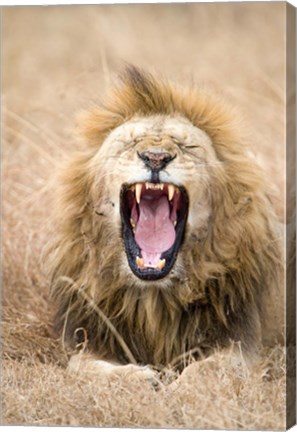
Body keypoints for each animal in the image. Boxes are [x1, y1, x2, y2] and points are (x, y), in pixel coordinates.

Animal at [45, 66, 282, 380]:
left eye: (187, 146)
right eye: (130, 144)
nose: (155, 158)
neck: (153, 297)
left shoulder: (242, 342)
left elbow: (208, 370)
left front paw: (179, 387)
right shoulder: (88, 338)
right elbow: (85, 368)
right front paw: (140, 378)